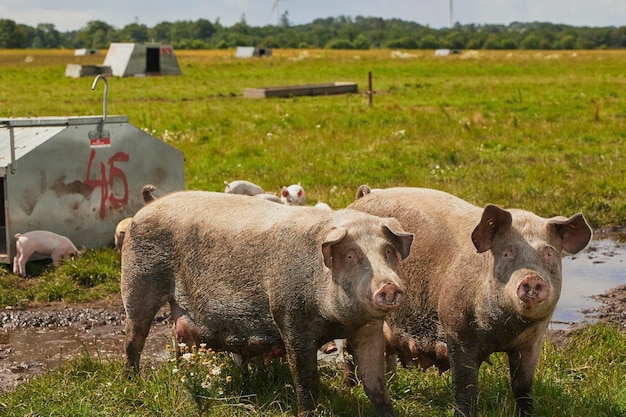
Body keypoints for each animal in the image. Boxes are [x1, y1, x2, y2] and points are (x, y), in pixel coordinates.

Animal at [122, 190, 414, 414]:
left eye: (388, 251)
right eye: (352, 256)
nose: (389, 286)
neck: (338, 322)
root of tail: (149, 205)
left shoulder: (369, 329)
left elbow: (376, 384)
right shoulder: (290, 320)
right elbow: (306, 380)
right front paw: (307, 412)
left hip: (178, 313)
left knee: (179, 341)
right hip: (137, 282)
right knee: (134, 339)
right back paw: (132, 381)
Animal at [348, 186, 592, 416]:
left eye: (549, 254)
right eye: (507, 253)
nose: (532, 277)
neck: (503, 331)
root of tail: (363, 196)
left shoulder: (532, 341)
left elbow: (523, 387)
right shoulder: (456, 330)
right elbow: (465, 387)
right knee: (351, 353)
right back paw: (351, 387)